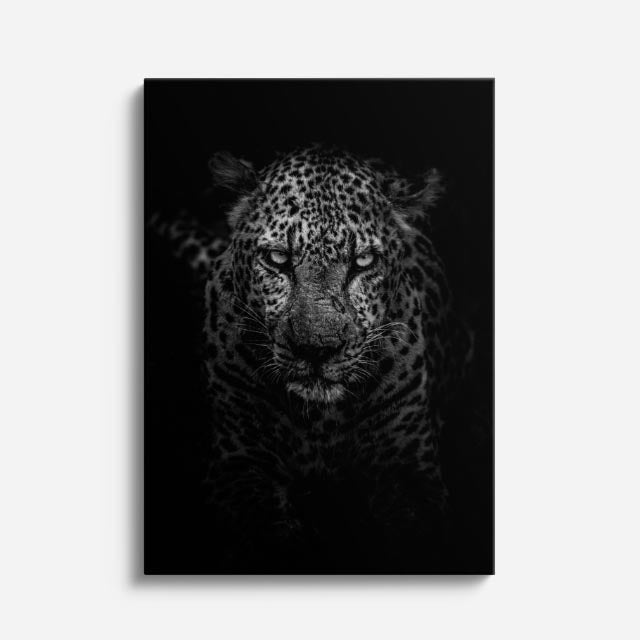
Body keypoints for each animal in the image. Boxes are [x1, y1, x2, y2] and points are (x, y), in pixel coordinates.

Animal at [149, 145, 473, 570]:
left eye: (363, 262)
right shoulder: (239, 463)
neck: (322, 420)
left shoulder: (408, 469)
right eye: (276, 258)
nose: (316, 348)